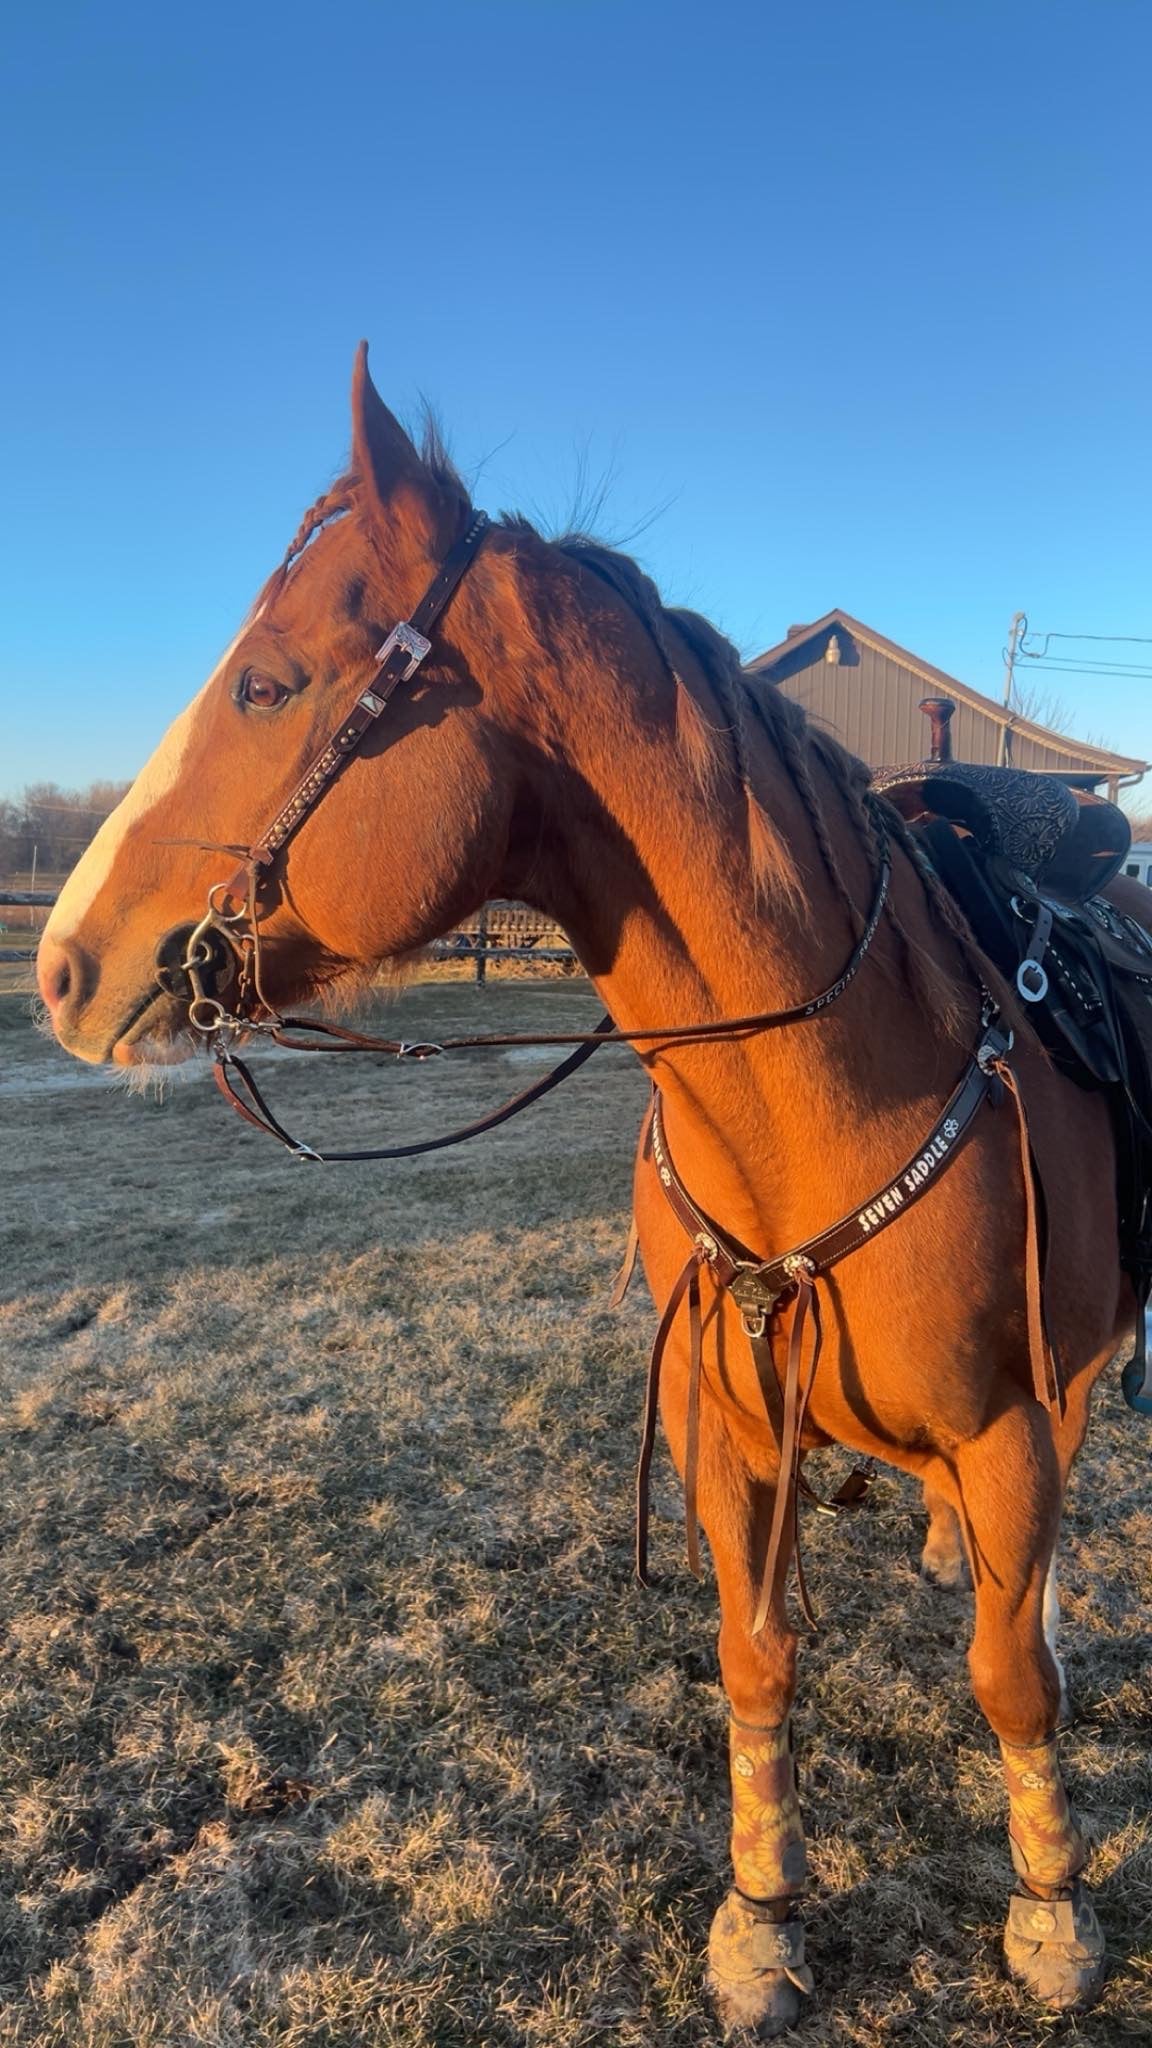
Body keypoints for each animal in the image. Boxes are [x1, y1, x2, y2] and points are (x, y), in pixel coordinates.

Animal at [40, 344, 1131, 2023]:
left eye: (266, 684)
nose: (62, 967)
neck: (821, 1090)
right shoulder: (725, 1427)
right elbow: (757, 1662)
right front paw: (761, 1916)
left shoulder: (1007, 1422)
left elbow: (1013, 1678)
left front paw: (1053, 1909)